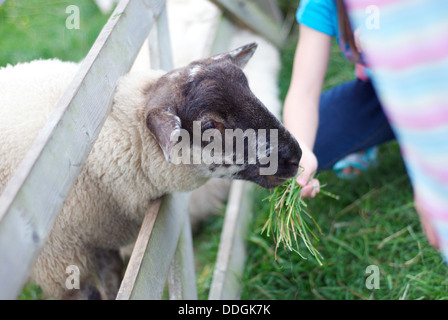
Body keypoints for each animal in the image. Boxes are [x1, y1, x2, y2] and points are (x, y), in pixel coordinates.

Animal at [0, 43, 300, 300]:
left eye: (248, 86)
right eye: (209, 126)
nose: (295, 156)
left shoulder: (100, 242)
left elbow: (114, 284)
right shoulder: (61, 265)